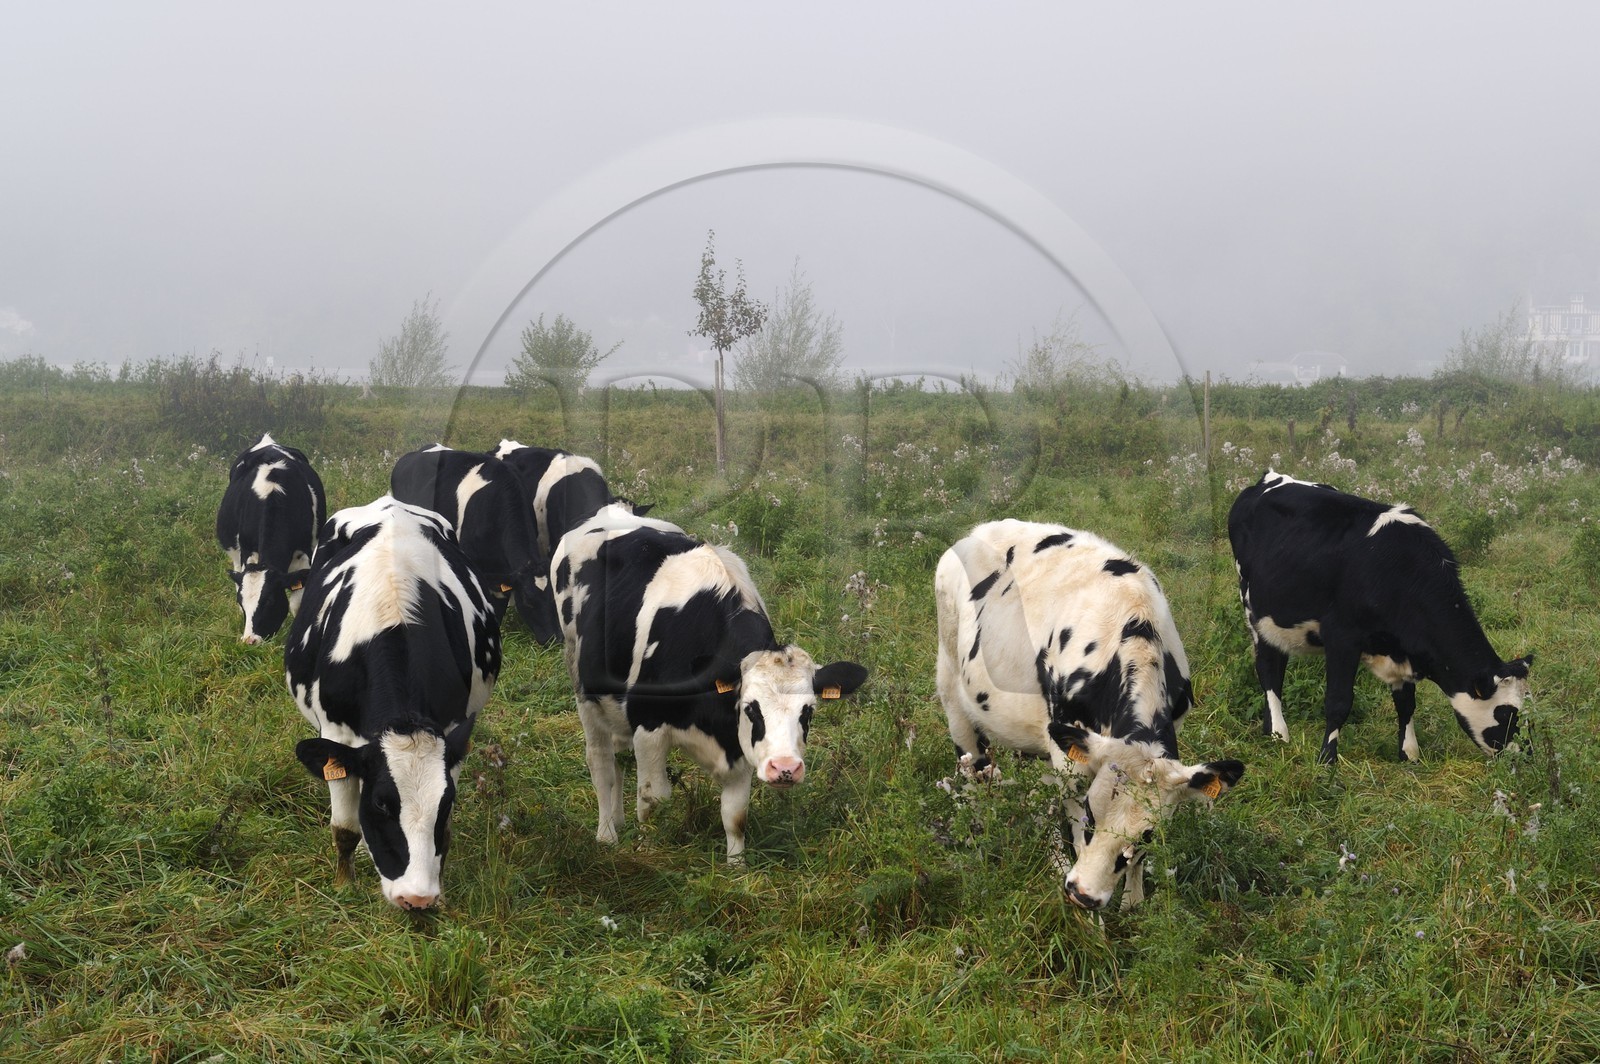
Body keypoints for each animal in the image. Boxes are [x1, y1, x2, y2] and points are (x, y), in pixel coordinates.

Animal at [215, 433, 326, 645]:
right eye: (241, 602)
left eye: (270, 601)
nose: (250, 640)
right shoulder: (247, 550)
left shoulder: (304, 552)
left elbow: (297, 602)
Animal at [285, 496, 501, 910]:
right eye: (382, 804)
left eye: (445, 805)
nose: (416, 897)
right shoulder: (336, 734)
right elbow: (345, 828)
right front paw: (344, 885)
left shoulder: (453, 730)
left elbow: (446, 832)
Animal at [551, 505, 867, 861]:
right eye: (751, 708)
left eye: (808, 711)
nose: (784, 768)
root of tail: (614, 510)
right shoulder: (648, 726)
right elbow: (652, 800)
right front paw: (647, 850)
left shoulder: (739, 745)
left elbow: (735, 814)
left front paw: (736, 866)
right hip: (582, 680)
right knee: (602, 763)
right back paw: (607, 834)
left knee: (617, 759)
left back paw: (616, 821)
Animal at [935, 519, 1244, 910]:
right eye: (1092, 812)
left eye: (1147, 834)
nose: (1084, 894)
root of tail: (979, 529)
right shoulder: (1071, 758)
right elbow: (1073, 820)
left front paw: (1133, 900)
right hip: (953, 689)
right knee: (972, 770)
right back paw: (978, 841)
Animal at [1228, 469, 1532, 764]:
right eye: (1506, 713)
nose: (1525, 756)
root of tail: (1268, 477)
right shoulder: (1341, 637)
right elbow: (1338, 702)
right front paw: (1326, 759)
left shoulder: (1404, 649)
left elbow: (1406, 704)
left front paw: (1409, 754)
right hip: (1254, 612)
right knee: (1269, 670)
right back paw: (1279, 733)